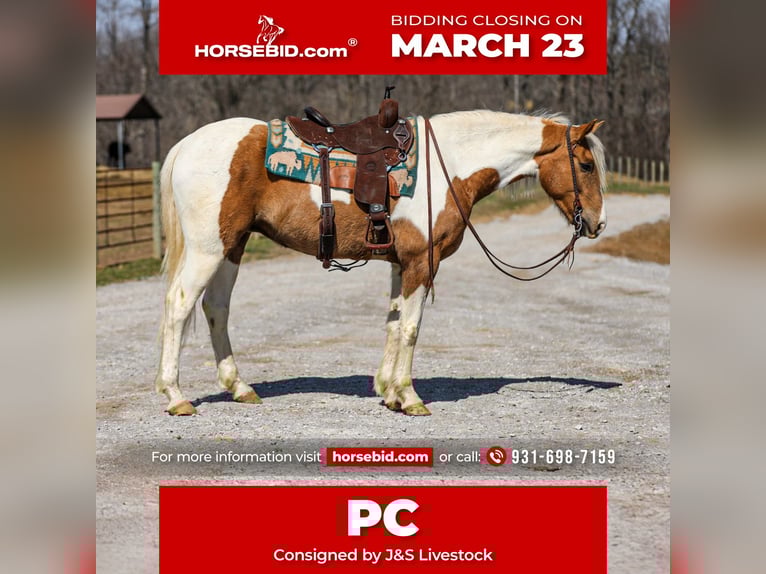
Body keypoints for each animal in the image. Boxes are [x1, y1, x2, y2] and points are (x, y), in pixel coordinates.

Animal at [155, 110, 607, 416]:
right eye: (585, 165)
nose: (598, 223)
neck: (451, 166)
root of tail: (187, 144)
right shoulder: (422, 262)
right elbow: (410, 328)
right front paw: (409, 397)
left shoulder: (398, 263)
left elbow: (392, 322)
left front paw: (388, 392)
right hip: (208, 249)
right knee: (178, 306)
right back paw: (176, 396)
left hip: (232, 246)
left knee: (216, 308)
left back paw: (240, 387)